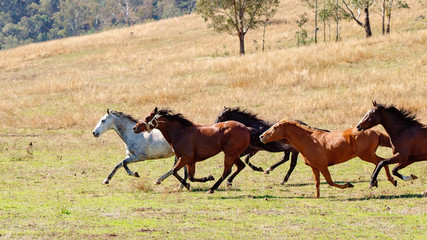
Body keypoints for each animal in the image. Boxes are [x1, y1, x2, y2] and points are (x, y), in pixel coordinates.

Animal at [260, 121, 398, 198]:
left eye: (275, 127)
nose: (262, 136)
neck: (309, 141)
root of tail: (375, 131)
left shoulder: (323, 166)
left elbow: (330, 182)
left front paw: (349, 185)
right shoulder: (314, 167)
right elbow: (317, 182)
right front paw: (316, 196)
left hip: (366, 155)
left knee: (382, 161)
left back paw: (390, 180)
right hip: (368, 155)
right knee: (381, 162)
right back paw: (375, 181)